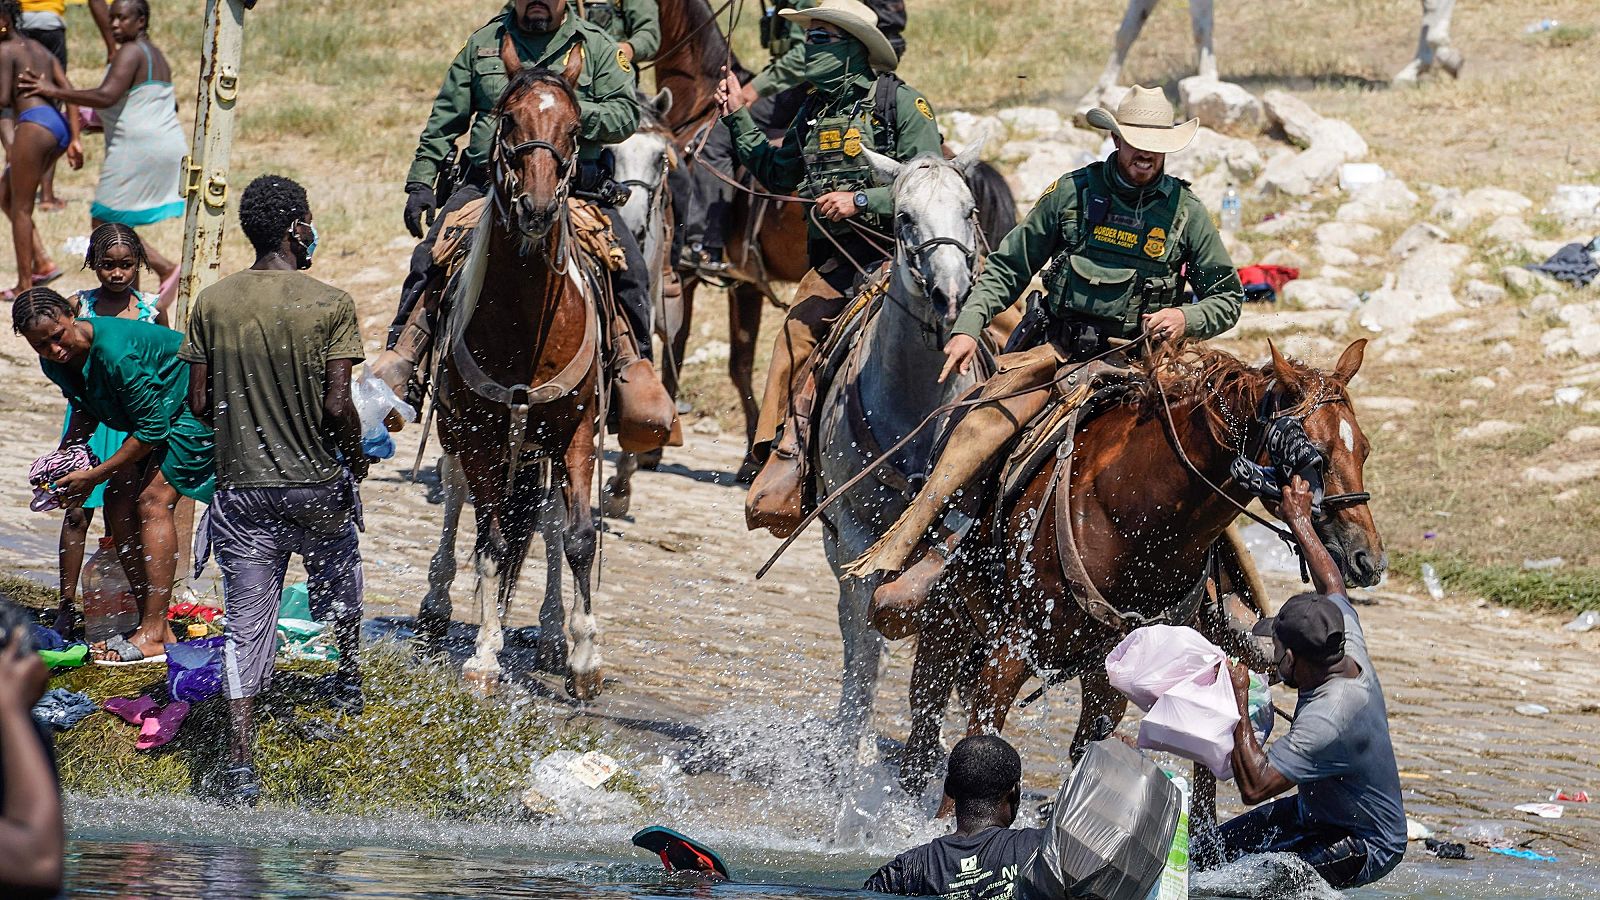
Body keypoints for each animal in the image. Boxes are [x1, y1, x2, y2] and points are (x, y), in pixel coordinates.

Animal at [416, 46, 605, 700]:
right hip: (460, 436)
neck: (526, 327)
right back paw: (436, 606)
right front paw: (484, 655)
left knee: (545, 520)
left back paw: (550, 633)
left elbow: (578, 537)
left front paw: (584, 656)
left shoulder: (576, 431)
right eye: (508, 119)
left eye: (576, 126)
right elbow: (493, 543)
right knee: (455, 501)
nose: (538, 209)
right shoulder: (479, 437)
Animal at [812, 144, 988, 752]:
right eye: (903, 216)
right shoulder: (856, 534)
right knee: (854, 627)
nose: (951, 295)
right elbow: (865, 639)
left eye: (970, 210)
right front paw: (851, 745)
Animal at [900, 339, 1385, 802]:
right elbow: (979, 745)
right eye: (1315, 456)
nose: (1369, 558)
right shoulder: (1010, 650)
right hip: (945, 622)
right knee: (921, 737)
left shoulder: (1109, 672)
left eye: (1363, 449)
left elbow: (1088, 751)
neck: (1133, 512)